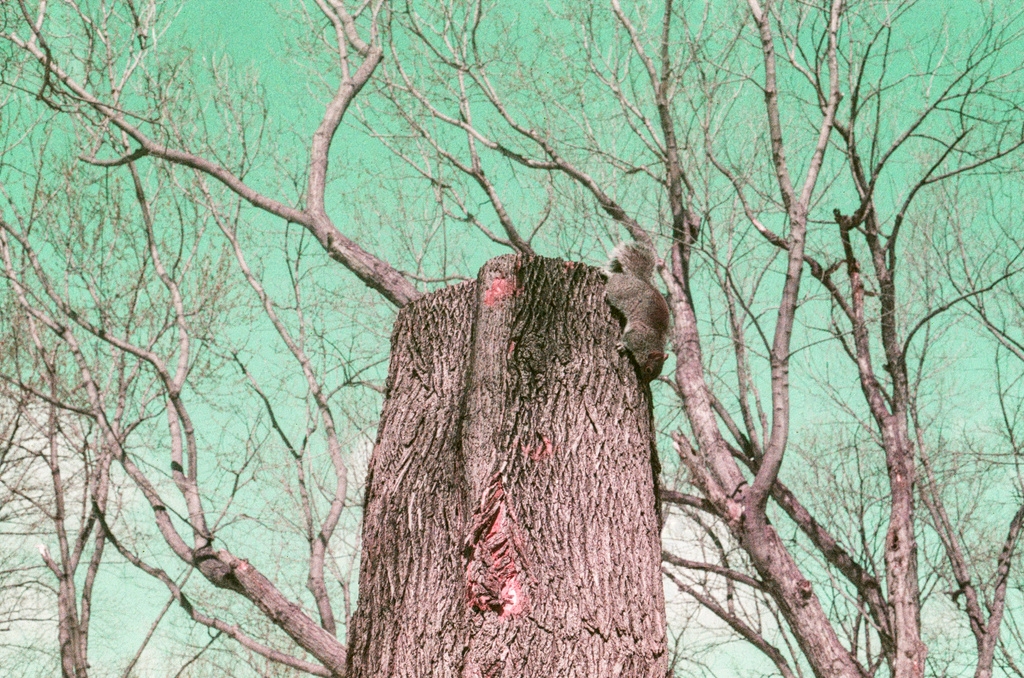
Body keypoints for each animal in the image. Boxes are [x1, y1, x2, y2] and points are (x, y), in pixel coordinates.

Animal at [602, 241, 670, 382]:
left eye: (657, 375)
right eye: (649, 369)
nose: (645, 382)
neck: (650, 344)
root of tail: (640, 280)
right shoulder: (638, 335)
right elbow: (628, 339)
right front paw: (622, 345)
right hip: (620, 291)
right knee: (616, 278)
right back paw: (606, 273)